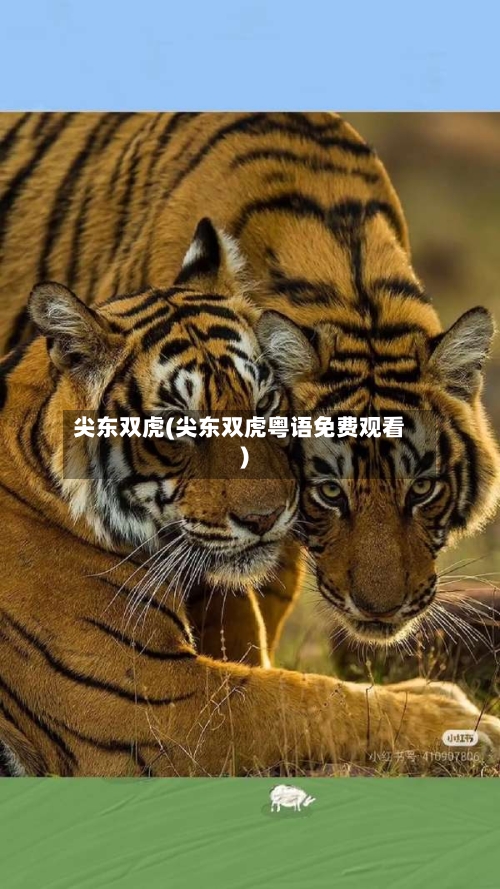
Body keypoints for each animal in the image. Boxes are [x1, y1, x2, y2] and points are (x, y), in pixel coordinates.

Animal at [1, 112, 499, 775]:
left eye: (422, 490)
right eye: (329, 492)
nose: (380, 611)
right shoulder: (156, 705)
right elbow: (307, 701)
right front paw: (457, 714)